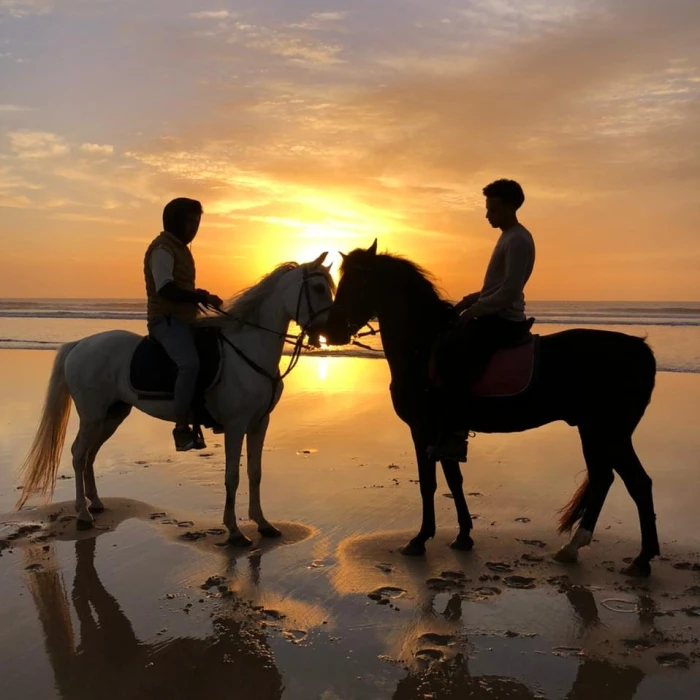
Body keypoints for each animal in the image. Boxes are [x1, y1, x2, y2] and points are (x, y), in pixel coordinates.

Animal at [15, 254, 334, 544]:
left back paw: (95, 503)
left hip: (112, 415)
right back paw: (83, 514)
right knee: (79, 454)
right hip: (93, 416)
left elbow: (255, 472)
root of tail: (80, 344)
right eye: (319, 288)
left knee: (90, 454)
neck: (248, 349)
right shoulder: (235, 425)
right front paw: (234, 531)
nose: (333, 331)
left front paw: (264, 524)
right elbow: (232, 476)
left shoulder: (259, 422)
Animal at [326, 241, 660, 576]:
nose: (332, 332)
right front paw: (463, 536)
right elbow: (453, 480)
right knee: (605, 479)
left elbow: (429, 483)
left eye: (358, 282)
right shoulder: (445, 432)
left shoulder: (424, 430)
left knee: (636, 482)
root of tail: (641, 349)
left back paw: (640, 559)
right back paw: (577, 549)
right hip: (594, 431)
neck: (424, 346)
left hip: (609, 432)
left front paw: (420, 539)